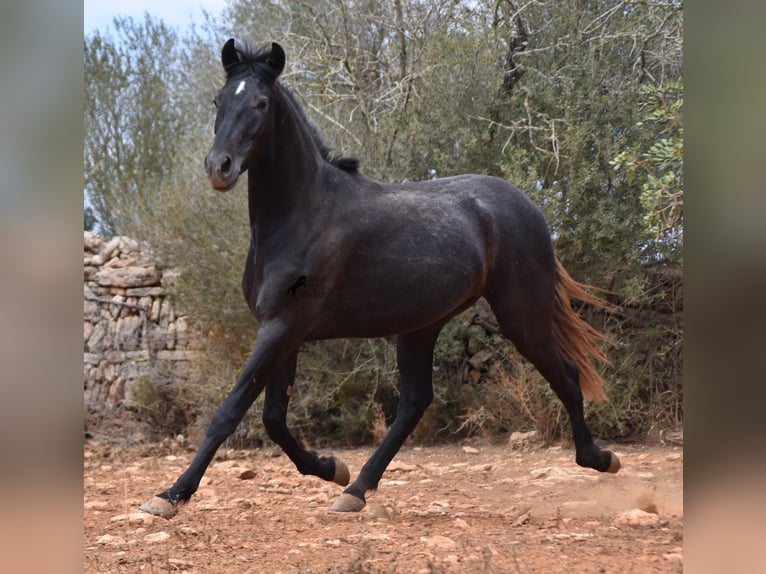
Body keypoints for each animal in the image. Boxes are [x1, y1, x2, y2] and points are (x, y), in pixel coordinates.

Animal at [140, 38, 624, 520]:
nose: (218, 167)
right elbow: (274, 418)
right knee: (414, 402)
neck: (302, 215)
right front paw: (330, 467)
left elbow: (231, 411)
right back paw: (355, 489)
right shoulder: (281, 330)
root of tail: (529, 207)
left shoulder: (282, 327)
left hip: (521, 315)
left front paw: (170, 495)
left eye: (260, 103)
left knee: (565, 374)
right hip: (421, 326)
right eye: (218, 100)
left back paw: (600, 458)